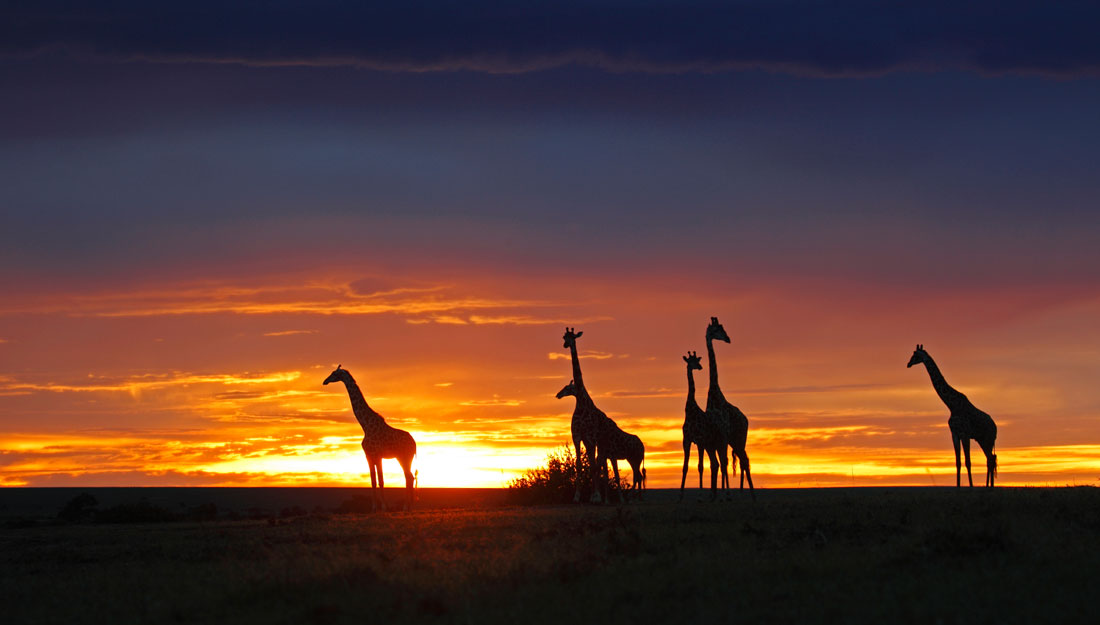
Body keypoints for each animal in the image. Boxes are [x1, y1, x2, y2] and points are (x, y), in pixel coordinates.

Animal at [323, 363, 418, 510]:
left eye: (334, 373)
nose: (325, 381)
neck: (365, 426)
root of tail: (414, 444)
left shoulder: (377, 455)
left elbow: (381, 480)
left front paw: (384, 507)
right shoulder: (368, 455)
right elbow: (373, 481)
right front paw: (374, 507)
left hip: (405, 456)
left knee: (409, 477)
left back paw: (406, 507)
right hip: (402, 457)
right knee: (409, 477)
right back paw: (409, 506)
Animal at [558, 330, 611, 506]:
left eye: (573, 337)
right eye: (564, 337)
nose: (566, 345)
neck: (581, 402)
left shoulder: (591, 437)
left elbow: (593, 465)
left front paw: (596, 496)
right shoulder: (577, 436)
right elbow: (579, 463)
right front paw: (576, 497)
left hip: (602, 442)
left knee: (602, 464)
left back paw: (603, 498)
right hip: (593, 443)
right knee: (600, 462)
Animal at [677, 349, 730, 499]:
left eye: (697, 360)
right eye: (691, 361)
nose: (700, 367)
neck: (690, 411)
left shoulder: (700, 441)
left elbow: (700, 466)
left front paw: (701, 495)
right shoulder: (687, 440)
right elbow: (685, 466)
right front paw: (680, 496)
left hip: (720, 442)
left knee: (723, 463)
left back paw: (725, 494)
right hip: (711, 445)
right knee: (716, 464)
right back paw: (715, 495)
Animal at [910, 347, 998, 488]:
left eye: (915, 355)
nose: (908, 364)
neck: (951, 405)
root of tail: (995, 427)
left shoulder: (965, 434)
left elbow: (968, 461)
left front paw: (971, 486)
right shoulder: (955, 434)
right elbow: (958, 462)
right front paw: (958, 486)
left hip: (988, 439)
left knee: (991, 459)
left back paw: (989, 487)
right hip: (982, 440)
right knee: (990, 459)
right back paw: (988, 486)